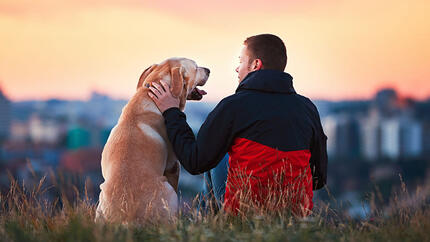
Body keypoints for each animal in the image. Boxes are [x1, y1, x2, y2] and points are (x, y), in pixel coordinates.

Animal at [97, 57, 210, 224]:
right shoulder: (173, 165)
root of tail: (126, 218)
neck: (149, 95)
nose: (209, 70)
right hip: (168, 191)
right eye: (196, 67)